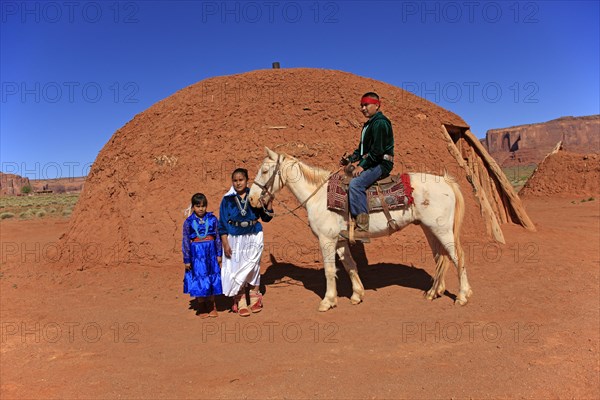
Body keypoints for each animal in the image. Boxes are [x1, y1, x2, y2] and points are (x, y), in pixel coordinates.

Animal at [248, 148, 474, 312]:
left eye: (265, 171)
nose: (251, 199)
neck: (319, 196)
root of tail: (445, 181)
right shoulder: (339, 240)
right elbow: (349, 265)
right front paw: (357, 295)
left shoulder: (326, 239)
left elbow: (330, 270)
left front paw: (327, 301)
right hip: (430, 229)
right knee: (440, 258)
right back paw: (433, 292)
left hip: (442, 230)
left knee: (458, 257)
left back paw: (463, 296)